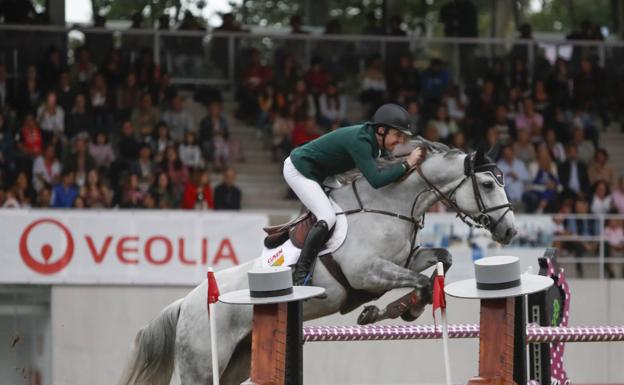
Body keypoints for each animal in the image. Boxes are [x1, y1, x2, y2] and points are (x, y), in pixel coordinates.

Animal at [117, 140, 516, 384]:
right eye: (488, 184)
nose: (510, 230)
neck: (391, 205)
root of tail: (186, 303)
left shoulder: (409, 258)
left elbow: (440, 261)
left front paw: (396, 311)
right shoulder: (366, 272)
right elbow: (419, 282)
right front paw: (388, 311)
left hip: (237, 361)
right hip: (202, 362)